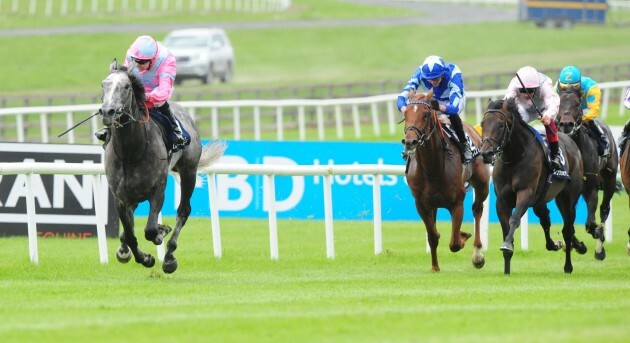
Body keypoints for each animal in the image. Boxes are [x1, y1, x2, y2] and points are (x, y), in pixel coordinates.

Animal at [100, 59, 226, 274]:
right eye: (104, 85)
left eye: (126, 87)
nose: (107, 111)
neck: (130, 152)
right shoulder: (120, 198)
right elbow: (130, 234)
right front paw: (142, 257)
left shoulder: (157, 191)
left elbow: (150, 230)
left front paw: (160, 234)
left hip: (189, 171)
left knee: (184, 210)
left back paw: (169, 257)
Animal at [402, 90, 492, 272]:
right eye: (405, 113)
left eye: (425, 114)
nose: (410, 142)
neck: (432, 169)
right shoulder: (421, 204)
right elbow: (433, 235)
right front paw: (435, 267)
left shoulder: (457, 202)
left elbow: (455, 243)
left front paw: (464, 236)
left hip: (482, 185)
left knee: (477, 210)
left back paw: (478, 255)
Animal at [484, 98, 588, 276]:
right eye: (482, 123)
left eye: (500, 125)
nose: (486, 153)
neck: (513, 157)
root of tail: (571, 142)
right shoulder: (501, 200)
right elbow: (506, 227)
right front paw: (506, 268)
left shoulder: (525, 194)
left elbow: (514, 219)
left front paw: (507, 245)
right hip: (542, 199)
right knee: (546, 220)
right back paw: (558, 245)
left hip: (568, 198)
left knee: (568, 229)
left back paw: (568, 265)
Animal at [560, 89, 620, 260]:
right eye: (558, 103)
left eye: (577, 104)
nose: (566, 124)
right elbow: (568, 223)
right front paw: (577, 245)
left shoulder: (590, 188)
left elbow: (590, 223)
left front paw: (597, 233)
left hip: (610, 179)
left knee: (604, 209)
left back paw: (600, 249)